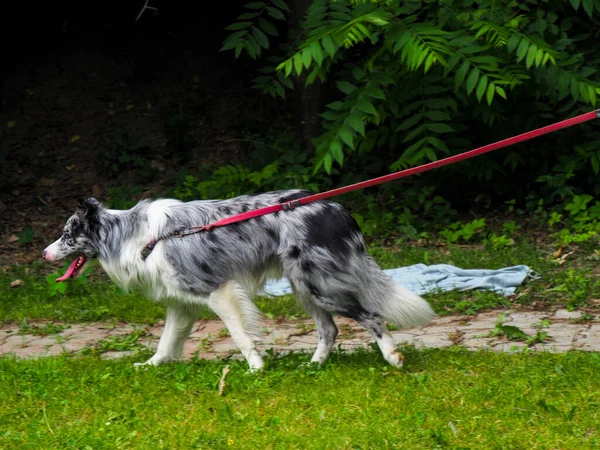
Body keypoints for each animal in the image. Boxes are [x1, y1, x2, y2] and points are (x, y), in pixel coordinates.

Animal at [43, 190, 436, 370]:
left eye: (67, 235)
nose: (44, 254)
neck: (134, 237)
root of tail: (338, 209)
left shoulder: (218, 291)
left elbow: (240, 334)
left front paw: (256, 367)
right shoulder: (181, 302)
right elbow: (165, 342)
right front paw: (150, 366)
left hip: (321, 285)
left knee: (371, 315)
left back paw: (393, 357)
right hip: (304, 287)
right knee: (330, 329)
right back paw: (313, 366)